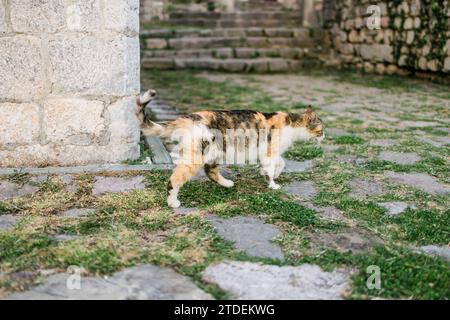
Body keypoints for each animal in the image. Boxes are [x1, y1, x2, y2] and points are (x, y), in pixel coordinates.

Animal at [135, 91, 326, 209]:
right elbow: (273, 168)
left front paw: (274, 174)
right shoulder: (270, 151)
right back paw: (173, 202)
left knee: (210, 171)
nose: (325, 136)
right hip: (197, 156)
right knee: (175, 179)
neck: (291, 124)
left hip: (214, 152)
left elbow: (281, 163)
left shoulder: (269, 152)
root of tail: (188, 117)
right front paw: (273, 184)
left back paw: (227, 183)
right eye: (322, 129)